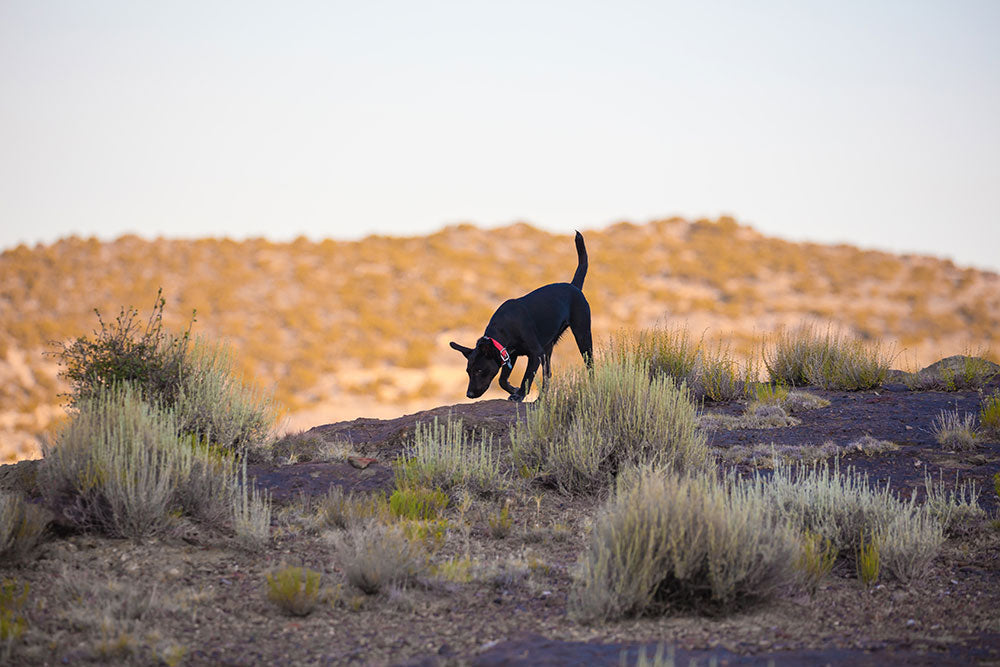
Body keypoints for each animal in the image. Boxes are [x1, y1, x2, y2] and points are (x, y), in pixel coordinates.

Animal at [454, 232, 592, 402]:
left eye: (479, 370)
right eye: (468, 371)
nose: (469, 394)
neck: (504, 328)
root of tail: (574, 286)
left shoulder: (535, 354)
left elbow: (527, 377)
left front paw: (519, 394)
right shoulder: (510, 356)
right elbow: (502, 380)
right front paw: (513, 389)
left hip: (582, 334)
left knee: (590, 365)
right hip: (548, 348)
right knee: (548, 375)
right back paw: (540, 399)